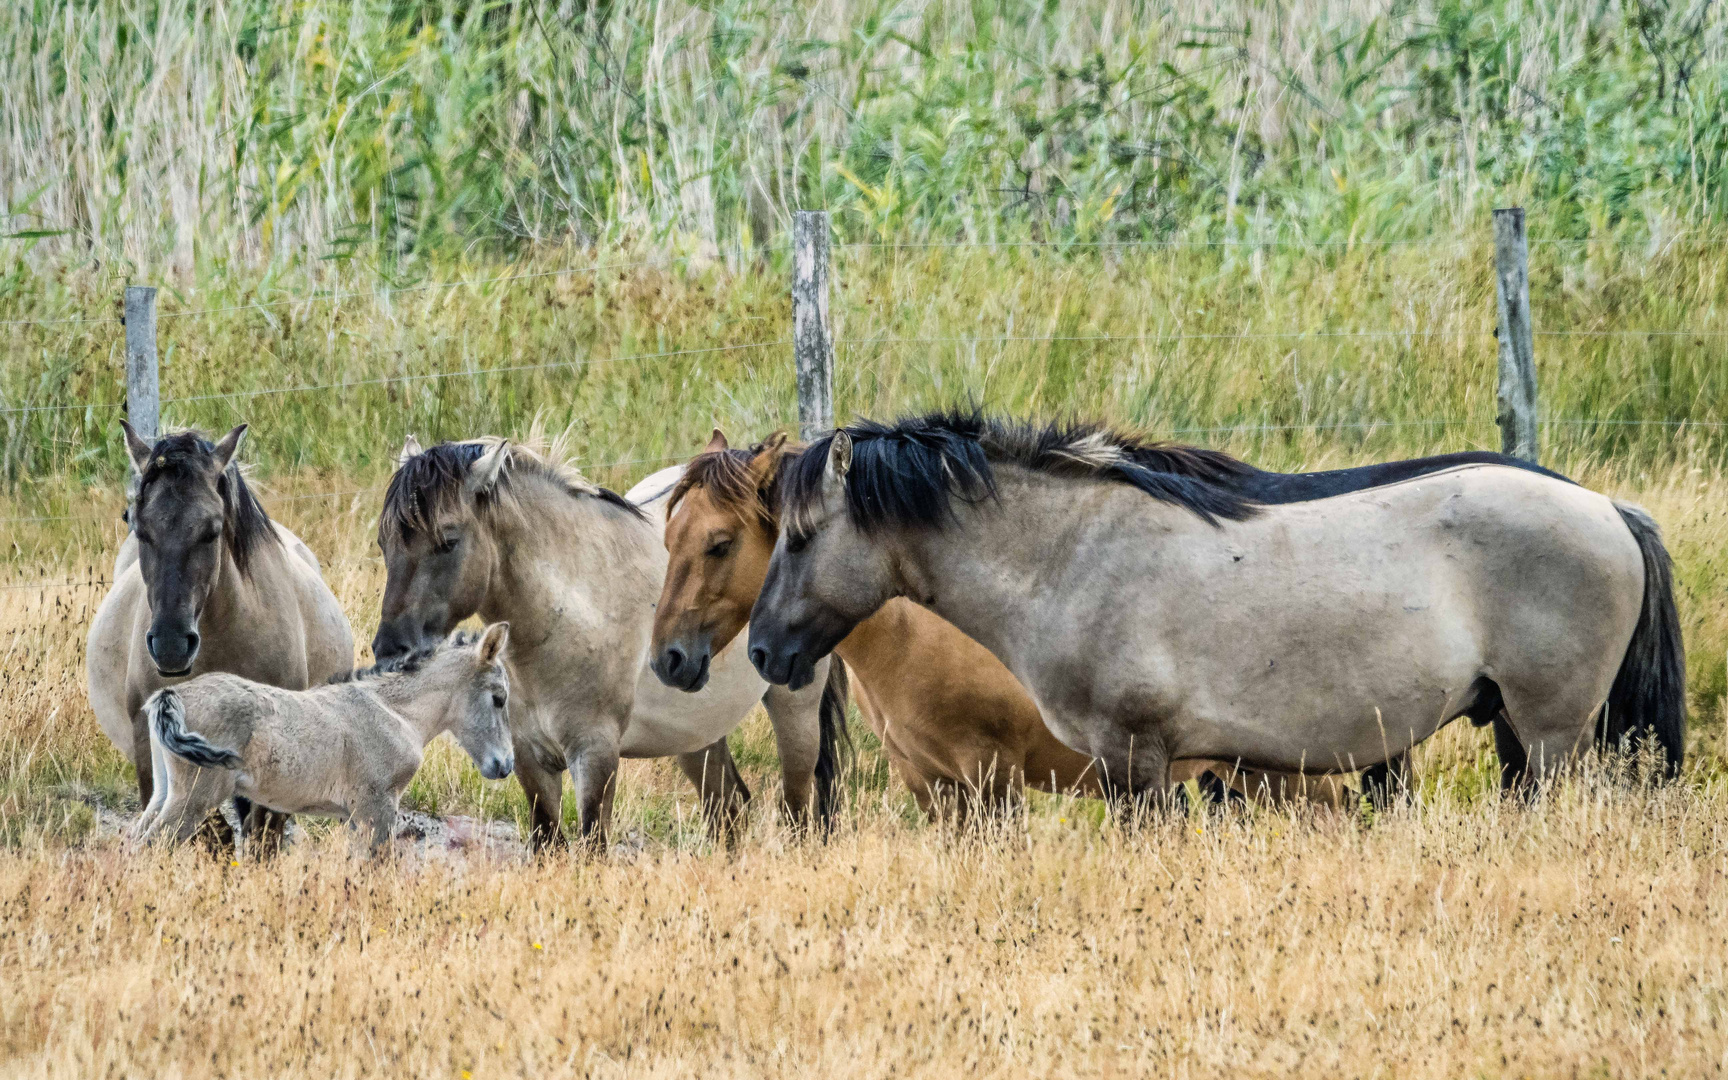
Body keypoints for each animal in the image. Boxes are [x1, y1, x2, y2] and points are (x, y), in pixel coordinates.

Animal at [90, 421, 357, 850]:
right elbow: (208, 833)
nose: (170, 646)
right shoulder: (154, 749)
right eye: (139, 526)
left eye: (212, 530)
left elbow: (259, 837)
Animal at [128, 618, 511, 853]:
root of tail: (171, 694)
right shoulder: (378, 808)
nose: (505, 765)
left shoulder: (354, 818)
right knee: (151, 845)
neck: (395, 712)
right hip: (194, 798)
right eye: (499, 698)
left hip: (166, 792)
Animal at [373, 432, 850, 850]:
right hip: (697, 732)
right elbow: (548, 844)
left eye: (448, 541)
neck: (574, 609)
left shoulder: (596, 756)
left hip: (795, 711)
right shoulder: (529, 759)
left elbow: (593, 847)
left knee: (797, 814)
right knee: (729, 811)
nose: (390, 650)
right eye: (384, 541)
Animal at [746, 407, 1686, 805]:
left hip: (1551, 734)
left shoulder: (1135, 760)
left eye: (800, 536)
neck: (1071, 556)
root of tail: (1609, 509)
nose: (759, 652)